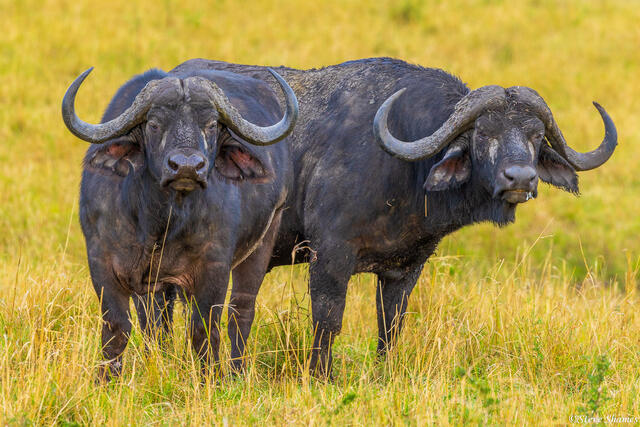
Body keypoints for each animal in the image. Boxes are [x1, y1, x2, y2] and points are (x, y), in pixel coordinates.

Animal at [62, 66, 298, 380]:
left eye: (211, 124)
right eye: (154, 124)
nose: (186, 167)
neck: (161, 222)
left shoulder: (214, 267)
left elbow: (203, 329)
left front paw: (211, 378)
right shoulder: (102, 261)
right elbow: (118, 327)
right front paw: (106, 379)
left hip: (264, 240)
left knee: (241, 312)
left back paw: (236, 371)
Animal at [169, 57, 616, 377]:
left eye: (535, 136)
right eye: (483, 133)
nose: (520, 178)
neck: (403, 169)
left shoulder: (406, 268)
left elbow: (390, 327)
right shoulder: (330, 256)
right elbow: (327, 321)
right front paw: (320, 377)